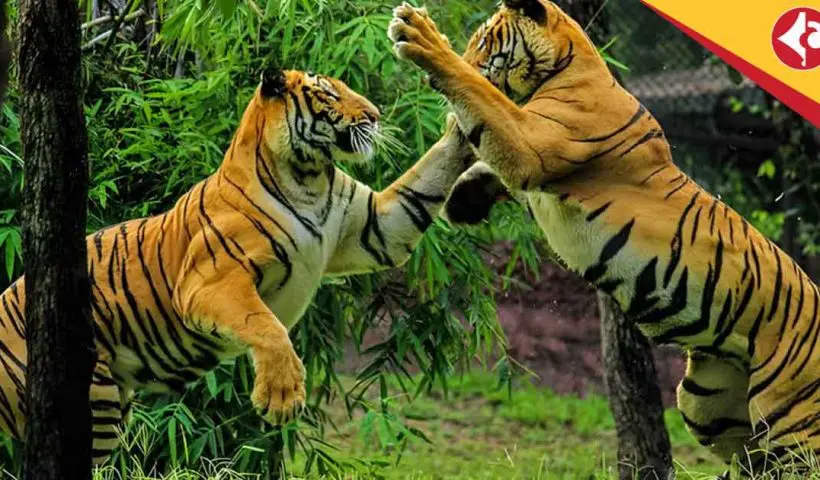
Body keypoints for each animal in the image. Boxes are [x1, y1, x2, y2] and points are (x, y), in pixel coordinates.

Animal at [0, 67, 474, 465]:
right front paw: (281, 397)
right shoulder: (211, 281)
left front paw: (462, 124)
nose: (376, 116)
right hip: (91, 402)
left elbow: (424, 180)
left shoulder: (376, 228)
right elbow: (266, 325)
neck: (309, 178)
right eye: (329, 93)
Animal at [387, 0, 820, 475]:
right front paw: (463, 200)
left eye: (483, 41)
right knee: (753, 461)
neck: (567, 65)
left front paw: (421, 37)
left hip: (792, 420)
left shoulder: (532, 143)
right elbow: (488, 156)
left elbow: (483, 98)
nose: (466, 55)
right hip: (704, 401)